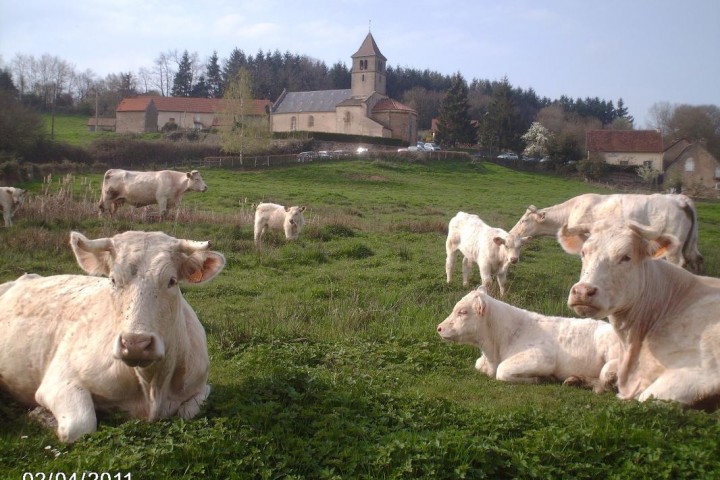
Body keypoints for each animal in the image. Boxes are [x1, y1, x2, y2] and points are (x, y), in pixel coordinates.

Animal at [0, 229, 225, 442]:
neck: (153, 387)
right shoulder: (59, 381)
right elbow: (80, 425)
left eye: (172, 281)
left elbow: (189, 410)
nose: (135, 343)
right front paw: (41, 416)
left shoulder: (199, 384)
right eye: (113, 279)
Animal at [436, 286, 620, 392]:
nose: (439, 328)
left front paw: (542, 378)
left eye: (463, 312)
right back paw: (576, 380)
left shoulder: (543, 357)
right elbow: (479, 365)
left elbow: (502, 371)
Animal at [506, 192, 704, 274]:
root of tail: (681, 200)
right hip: (690, 246)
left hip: (674, 249)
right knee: (697, 260)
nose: (511, 232)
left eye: (523, 221)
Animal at [560, 222, 720, 408]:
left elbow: (645, 397)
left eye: (626, 257)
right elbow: (606, 369)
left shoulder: (704, 371)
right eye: (583, 253)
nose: (583, 291)